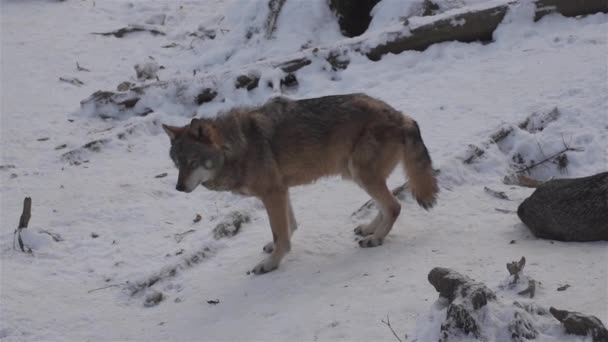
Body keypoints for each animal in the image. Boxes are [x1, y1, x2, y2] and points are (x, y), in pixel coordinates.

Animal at [162, 92, 436, 274]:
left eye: (192, 162)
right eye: (176, 163)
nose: (178, 187)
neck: (237, 146)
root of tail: (401, 115)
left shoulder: (272, 192)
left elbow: (281, 231)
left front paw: (271, 263)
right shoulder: (281, 190)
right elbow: (289, 225)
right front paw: (274, 248)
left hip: (360, 173)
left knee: (394, 206)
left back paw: (376, 239)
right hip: (356, 174)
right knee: (388, 204)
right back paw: (370, 229)